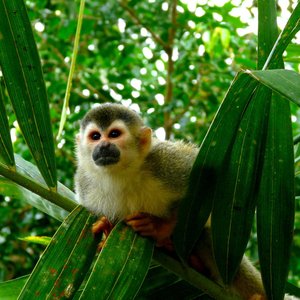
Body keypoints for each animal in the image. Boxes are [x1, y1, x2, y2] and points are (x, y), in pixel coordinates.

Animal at [74, 102, 266, 298]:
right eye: (95, 136)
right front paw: (107, 230)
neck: (122, 173)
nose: (104, 145)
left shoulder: (164, 162)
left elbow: (212, 179)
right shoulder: (85, 187)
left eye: (114, 134)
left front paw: (158, 227)